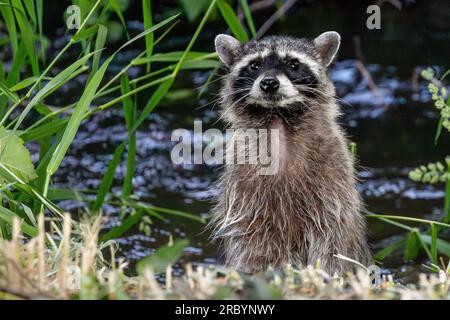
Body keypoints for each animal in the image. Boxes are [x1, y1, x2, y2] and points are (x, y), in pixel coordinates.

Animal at [209, 31, 370, 274]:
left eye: (293, 64)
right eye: (255, 65)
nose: (269, 83)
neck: (279, 118)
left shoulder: (334, 178)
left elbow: (332, 234)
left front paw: (329, 271)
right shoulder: (243, 184)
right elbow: (250, 238)